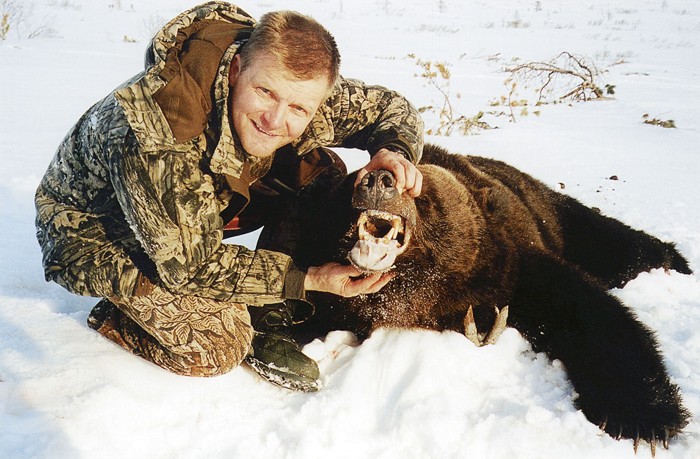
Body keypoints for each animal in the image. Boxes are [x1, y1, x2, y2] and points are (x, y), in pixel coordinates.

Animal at [256, 145, 688, 456]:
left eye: (420, 194)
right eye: (354, 181)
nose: (378, 180)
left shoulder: (513, 267)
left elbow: (590, 313)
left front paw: (643, 416)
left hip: (550, 211)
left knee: (602, 235)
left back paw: (671, 260)